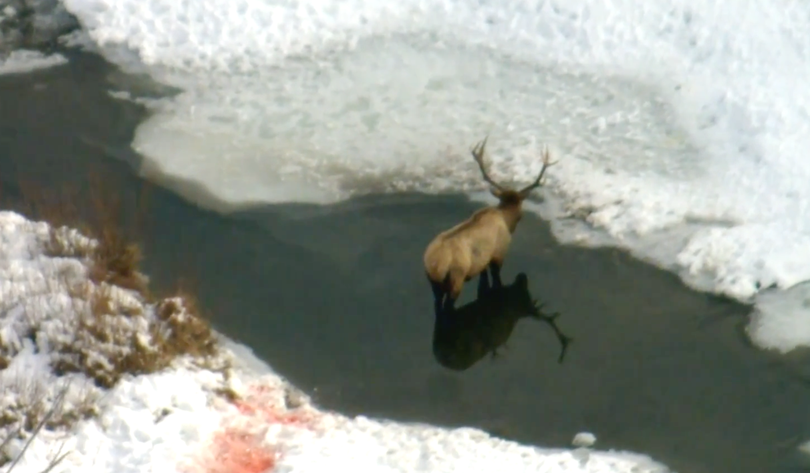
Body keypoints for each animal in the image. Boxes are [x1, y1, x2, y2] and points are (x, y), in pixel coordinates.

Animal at [422, 136, 556, 318]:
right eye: (521, 212)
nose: (522, 278)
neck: (505, 218)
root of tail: (434, 265)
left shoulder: (482, 263)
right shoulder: (498, 254)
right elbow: (496, 281)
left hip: (433, 284)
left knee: (437, 304)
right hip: (456, 277)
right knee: (448, 307)